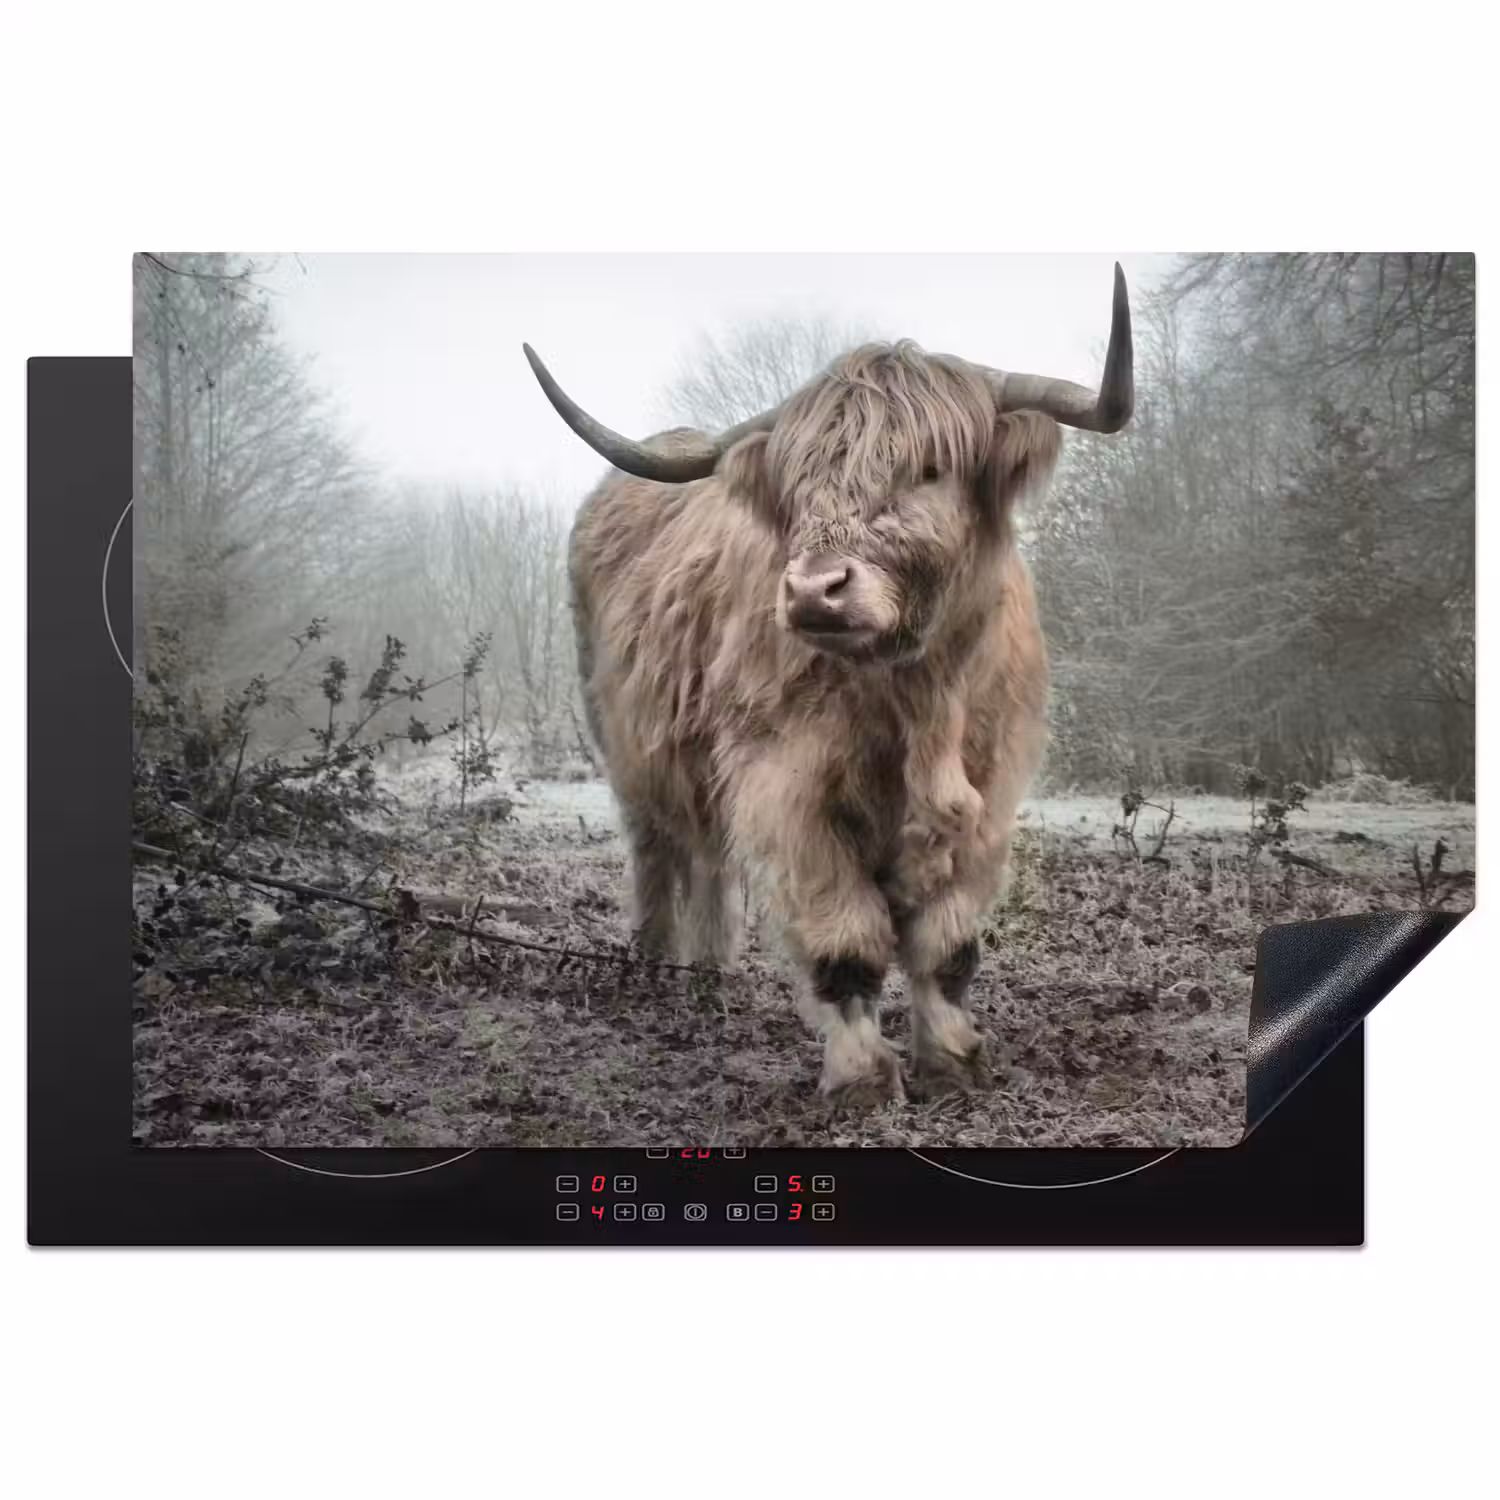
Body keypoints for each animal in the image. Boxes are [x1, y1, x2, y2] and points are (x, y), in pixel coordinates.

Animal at [523, 266, 1133, 1107]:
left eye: (930, 469)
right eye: (800, 484)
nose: (815, 590)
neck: (918, 697)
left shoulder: (990, 789)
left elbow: (947, 945)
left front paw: (953, 1059)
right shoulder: (788, 786)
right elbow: (846, 942)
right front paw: (862, 1078)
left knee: (709, 858)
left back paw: (710, 973)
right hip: (627, 746)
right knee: (657, 850)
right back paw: (654, 967)